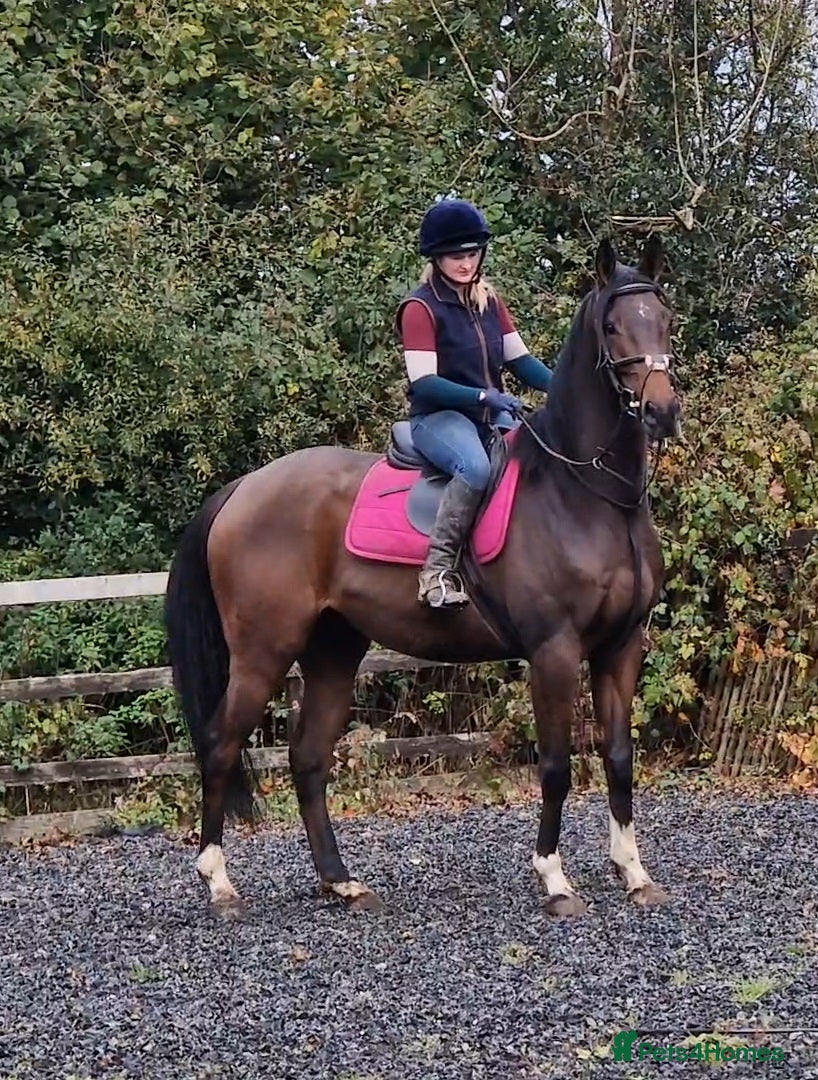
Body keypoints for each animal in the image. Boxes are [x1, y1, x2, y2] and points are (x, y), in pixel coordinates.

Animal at [163, 235, 682, 919]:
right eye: (614, 326)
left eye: (664, 319)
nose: (661, 412)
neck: (584, 492)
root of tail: (244, 487)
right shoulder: (555, 651)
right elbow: (555, 765)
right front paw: (555, 880)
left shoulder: (621, 646)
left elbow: (620, 757)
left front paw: (634, 873)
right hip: (262, 653)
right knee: (221, 743)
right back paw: (220, 884)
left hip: (333, 649)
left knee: (308, 759)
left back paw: (341, 883)